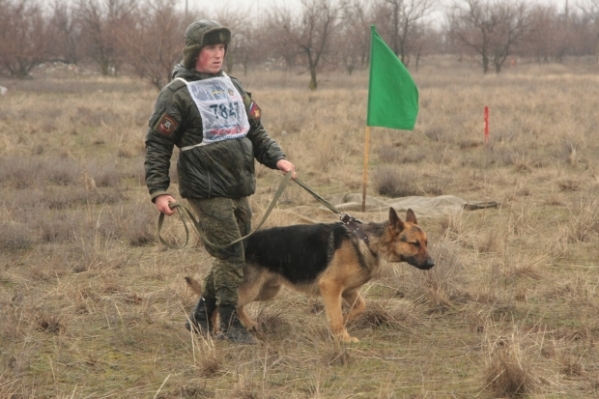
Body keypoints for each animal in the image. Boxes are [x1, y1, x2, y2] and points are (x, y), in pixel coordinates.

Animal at [185, 208, 434, 342]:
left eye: (426, 243)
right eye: (414, 244)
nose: (432, 264)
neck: (366, 240)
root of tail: (236, 246)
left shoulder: (349, 291)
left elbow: (358, 308)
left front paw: (346, 321)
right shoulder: (330, 287)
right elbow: (336, 317)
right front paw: (343, 338)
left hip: (268, 290)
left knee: (233, 304)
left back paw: (247, 325)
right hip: (252, 288)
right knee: (222, 302)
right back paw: (214, 329)